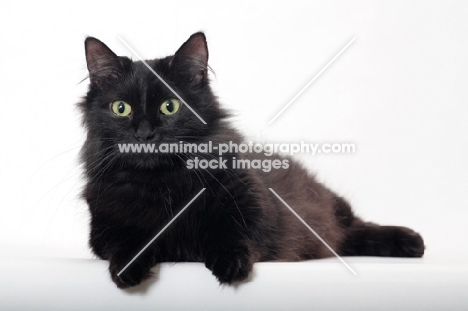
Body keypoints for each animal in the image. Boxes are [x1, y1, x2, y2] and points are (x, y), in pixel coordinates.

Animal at [79, 33, 424, 288]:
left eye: (170, 106)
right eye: (121, 108)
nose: (145, 134)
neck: (164, 181)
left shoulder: (252, 204)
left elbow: (234, 233)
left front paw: (231, 266)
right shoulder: (104, 228)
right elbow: (127, 242)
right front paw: (128, 271)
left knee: (355, 228)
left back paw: (411, 242)